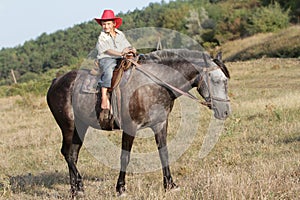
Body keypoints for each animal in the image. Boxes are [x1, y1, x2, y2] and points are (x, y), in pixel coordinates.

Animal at [46, 48, 230, 197]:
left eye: (226, 80)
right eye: (216, 80)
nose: (226, 111)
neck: (153, 83)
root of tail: (56, 82)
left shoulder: (160, 124)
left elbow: (164, 153)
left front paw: (170, 185)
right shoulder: (130, 127)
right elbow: (125, 157)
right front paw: (120, 188)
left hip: (80, 127)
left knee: (73, 154)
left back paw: (75, 190)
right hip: (68, 126)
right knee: (67, 153)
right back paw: (80, 185)